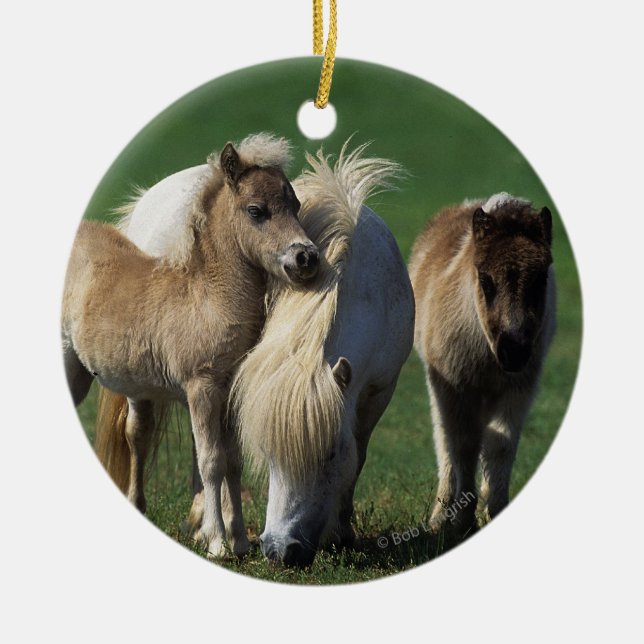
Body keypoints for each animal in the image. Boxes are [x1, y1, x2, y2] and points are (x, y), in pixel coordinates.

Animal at [62, 138, 319, 558]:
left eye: (295, 205)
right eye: (257, 211)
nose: (306, 258)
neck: (207, 298)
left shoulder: (229, 392)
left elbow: (232, 462)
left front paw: (239, 541)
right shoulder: (202, 388)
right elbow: (210, 461)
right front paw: (217, 542)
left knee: (137, 434)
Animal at [117, 138, 415, 567]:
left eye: (329, 456)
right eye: (271, 455)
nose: (280, 549)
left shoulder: (379, 389)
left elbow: (357, 455)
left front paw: (340, 531)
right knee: (140, 434)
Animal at [409, 193, 555, 533]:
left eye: (541, 279)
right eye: (486, 280)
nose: (514, 350)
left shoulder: (519, 387)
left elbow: (500, 444)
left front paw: (495, 509)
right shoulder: (455, 385)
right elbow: (463, 445)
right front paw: (462, 519)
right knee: (444, 442)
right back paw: (440, 516)